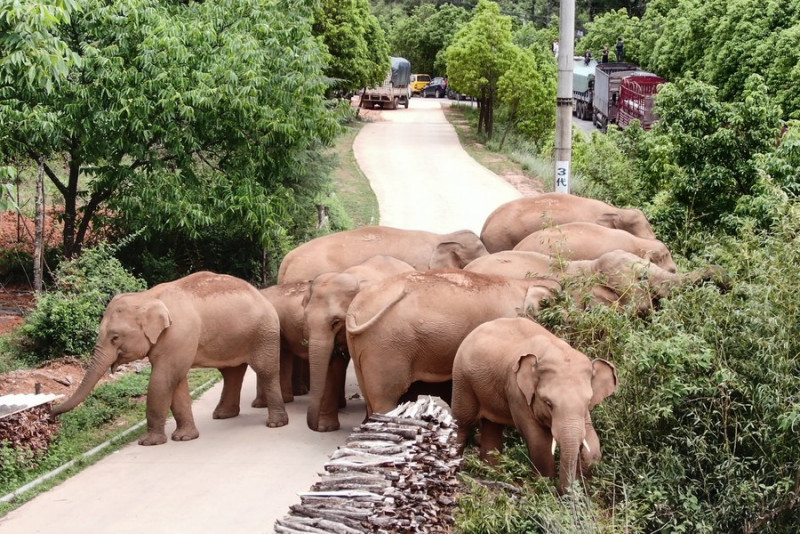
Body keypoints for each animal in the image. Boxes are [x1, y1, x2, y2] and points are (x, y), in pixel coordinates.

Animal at [52, 271, 288, 446]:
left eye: (115, 337)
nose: (51, 413)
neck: (147, 296)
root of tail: (261, 294)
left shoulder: (177, 334)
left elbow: (164, 378)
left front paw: (149, 442)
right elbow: (176, 381)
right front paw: (185, 438)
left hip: (264, 332)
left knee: (265, 371)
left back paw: (276, 424)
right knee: (232, 373)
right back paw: (223, 416)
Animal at [304, 255, 415, 432]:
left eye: (336, 322)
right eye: (306, 319)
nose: (315, 427)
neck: (352, 276)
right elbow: (332, 366)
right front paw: (327, 428)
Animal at [451, 317, 617, 494]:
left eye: (588, 401)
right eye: (548, 403)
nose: (564, 492)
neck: (555, 351)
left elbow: (592, 442)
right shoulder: (516, 391)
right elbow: (539, 440)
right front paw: (544, 487)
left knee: (492, 426)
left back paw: (492, 474)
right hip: (462, 379)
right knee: (463, 422)